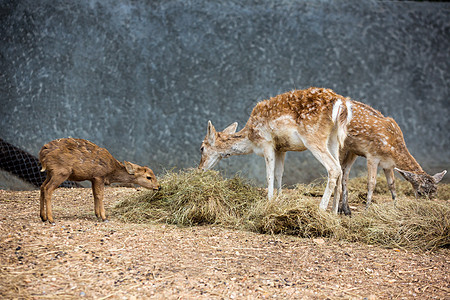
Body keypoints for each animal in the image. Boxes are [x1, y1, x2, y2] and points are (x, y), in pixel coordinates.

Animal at [199, 86, 354, 213]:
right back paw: (334, 212)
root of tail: (341, 103)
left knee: (333, 168)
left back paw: (321, 209)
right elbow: (279, 173)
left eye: (201, 148)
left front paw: (269, 202)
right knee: (340, 169)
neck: (250, 139)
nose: (200, 169)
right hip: (333, 139)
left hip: (313, 136)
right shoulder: (281, 148)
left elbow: (269, 174)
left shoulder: (267, 142)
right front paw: (279, 199)